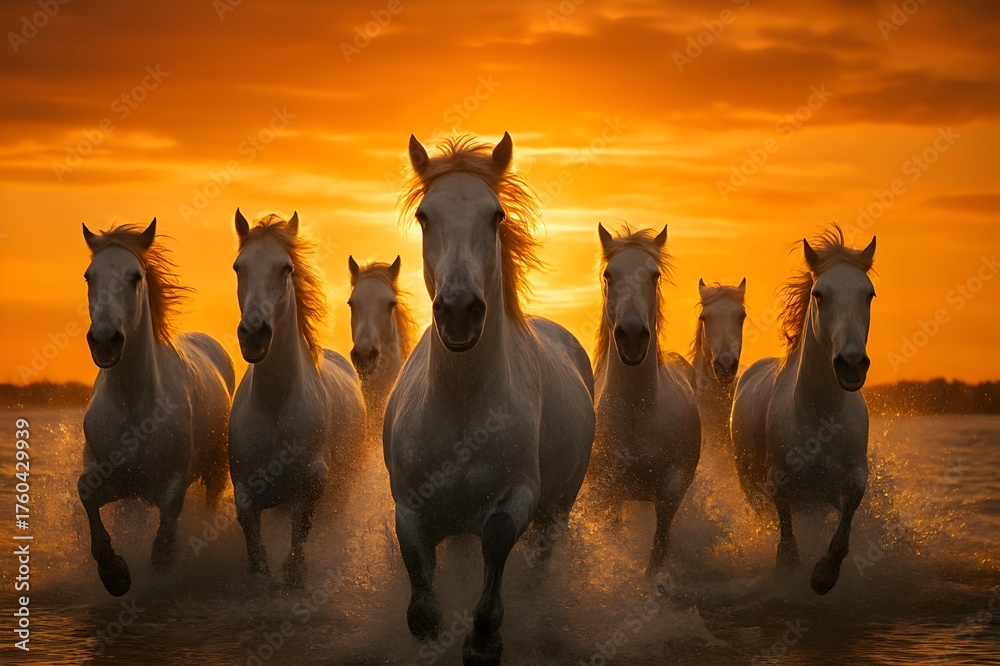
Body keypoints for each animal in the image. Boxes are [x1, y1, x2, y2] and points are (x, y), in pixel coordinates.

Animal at [78, 219, 234, 597]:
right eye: (90, 276)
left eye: (135, 276)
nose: (105, 340)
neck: (134, 408)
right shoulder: (110, 478)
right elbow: (86, 493)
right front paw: (115, 574)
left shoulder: (172, 486)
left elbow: (163, 546)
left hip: (216, 472)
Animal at [229, 210, 365, 586]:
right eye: (238, 267)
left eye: (285, 268)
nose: (254, 335)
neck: (274, 406)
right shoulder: (245, 490)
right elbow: (257, 553)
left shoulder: (312, 486)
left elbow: (297, 547)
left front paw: (294, 574)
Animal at [383, 133, 595, 664]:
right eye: (425, 216)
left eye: (495, 215)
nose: (460, 311)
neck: (462, 409)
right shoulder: (411, 510)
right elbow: (423, 612)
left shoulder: (519, 496)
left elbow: (497, 543)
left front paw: (484, 641)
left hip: (555, 514)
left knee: (540, 564)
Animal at [589, 223, 701, 574]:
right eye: (609, 274)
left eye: (654, 275)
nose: (632, 336)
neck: (637, 415)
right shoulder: (608, 494)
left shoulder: (669, 496)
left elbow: (658, 553)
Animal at [730, 226, 876, 595]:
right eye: (819, 294)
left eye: (869, 294)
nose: (851, 364)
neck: (818, 419)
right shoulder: (779, 481)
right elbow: (785, 530)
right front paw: (790, 565)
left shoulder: (850, 480)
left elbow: (845, 523)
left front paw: (823, 575)